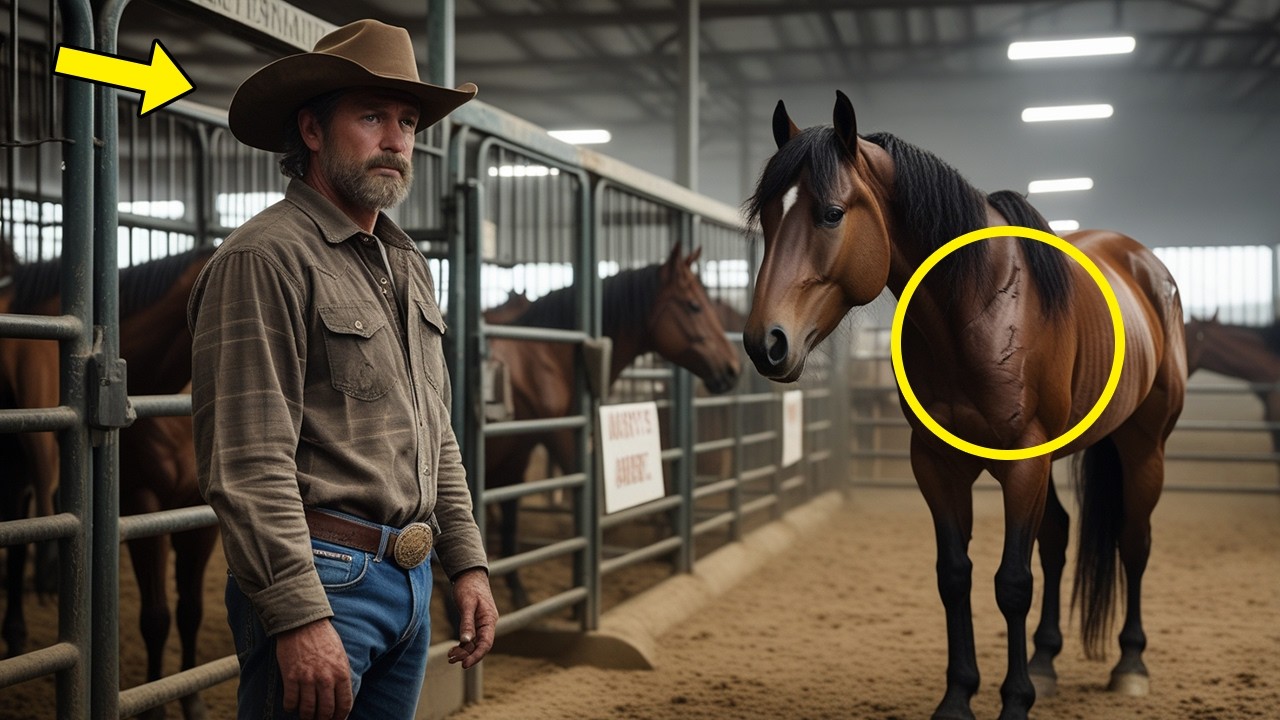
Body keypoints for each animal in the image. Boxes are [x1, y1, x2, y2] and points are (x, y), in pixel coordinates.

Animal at [0, 246, 216, 720]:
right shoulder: (142, 506)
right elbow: (156, 617)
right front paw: (154, 703)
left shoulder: (200, 514)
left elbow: (192, 610)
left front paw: (191, 698)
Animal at [483, 243, 740, 609]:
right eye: (694, 305)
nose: (733, 368)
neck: (546, 356)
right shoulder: (561, 439)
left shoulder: (517, 454)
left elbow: (510, 515)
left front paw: (518, 591)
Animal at [741, 92, 1186, 720]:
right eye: (769, 217)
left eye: (830, 214)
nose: (765, 343)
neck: (977, 305)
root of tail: (1145, 264)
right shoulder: (936, 464)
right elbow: (955, 576)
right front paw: (959, 697)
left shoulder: (1025, 462)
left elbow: (1012, 583)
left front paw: (1015, 701)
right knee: (1058, 538)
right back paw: (1046, 661)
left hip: (1143, 446)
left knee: (1133, 540)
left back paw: (1129, 664)